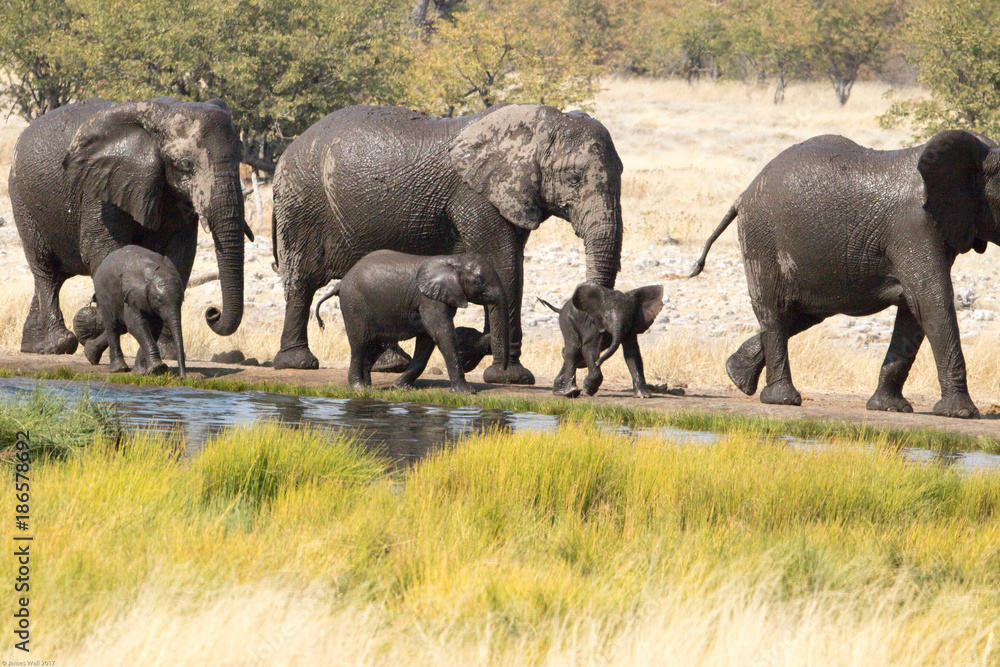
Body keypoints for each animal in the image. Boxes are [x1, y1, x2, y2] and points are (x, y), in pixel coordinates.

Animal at [8, 96, 251, 357]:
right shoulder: (101, 185)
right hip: (22, 199)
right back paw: (60, 343)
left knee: (56, 274)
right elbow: (103, 250)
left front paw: (168, 352)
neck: (162, 116)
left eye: (240, 159)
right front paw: (91, 323)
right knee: (46, 270)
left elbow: (180, 256)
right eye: (185, 165)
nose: (212, 312)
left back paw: (35, 346)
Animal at [90, 245, 186, 377]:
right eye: (159, 300)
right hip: (103, 291)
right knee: (113, 326)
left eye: (182, 299)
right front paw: (158, 368)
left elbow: (154, 328)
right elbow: (136, 325)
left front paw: (142, 372)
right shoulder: (132, 294)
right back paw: (119, 369)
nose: (183, 377)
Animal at [313, 250, 510, 393]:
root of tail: (340, 283)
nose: (503, 371)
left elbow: (427, 341)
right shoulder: (429, 300)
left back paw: (368, 387)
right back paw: (359, 388)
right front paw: (466, 392)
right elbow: (442, 333)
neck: (453, 260)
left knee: (375, 346)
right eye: (479, 282)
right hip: (354, 304)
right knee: (360, 345)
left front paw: (401, 387)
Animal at [690, 130, 1000, 418]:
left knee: (803, 313)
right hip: (762, 236)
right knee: (775, 311)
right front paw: (961, 413)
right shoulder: (916, 227)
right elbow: (931, 301)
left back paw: (737, 375)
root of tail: (744, 194)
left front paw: (888, 408)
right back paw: (782, 399)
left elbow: (914, 312)